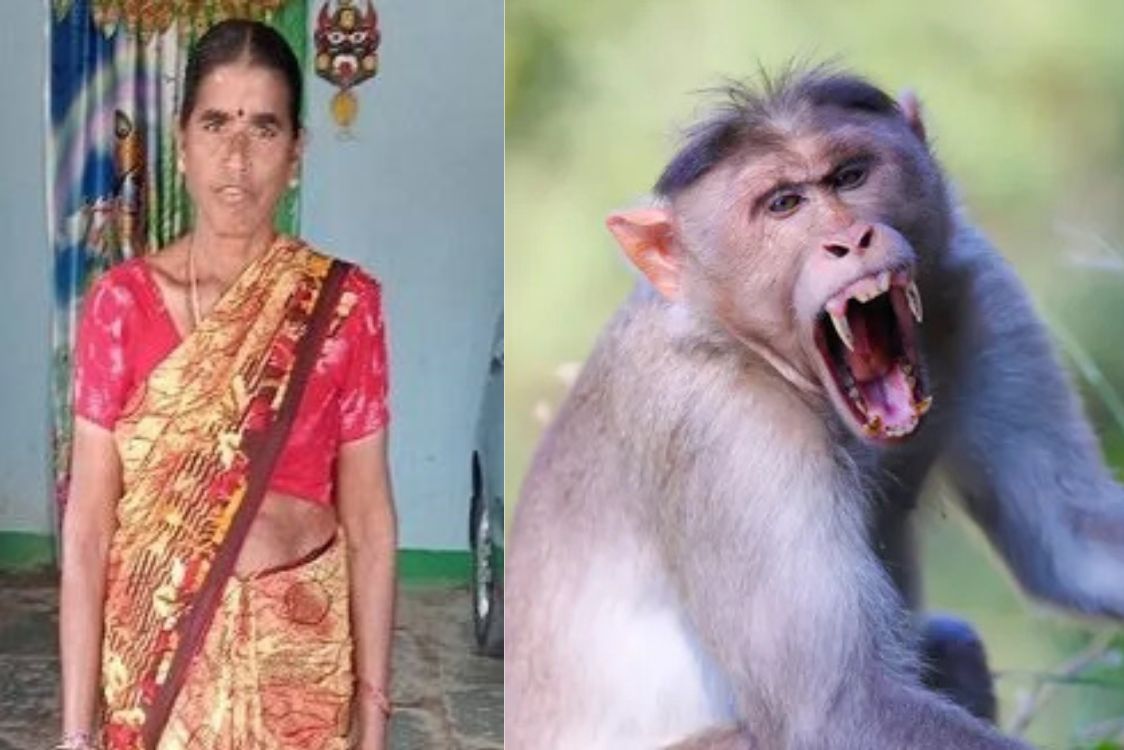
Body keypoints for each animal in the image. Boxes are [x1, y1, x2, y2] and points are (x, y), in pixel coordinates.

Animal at [504, 67, 1124, 750]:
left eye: (850, 175)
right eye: (784, 204)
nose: (850, 239)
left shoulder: (976, 283)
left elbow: (1068, 537)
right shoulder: (725, 427)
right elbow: (837, 710)